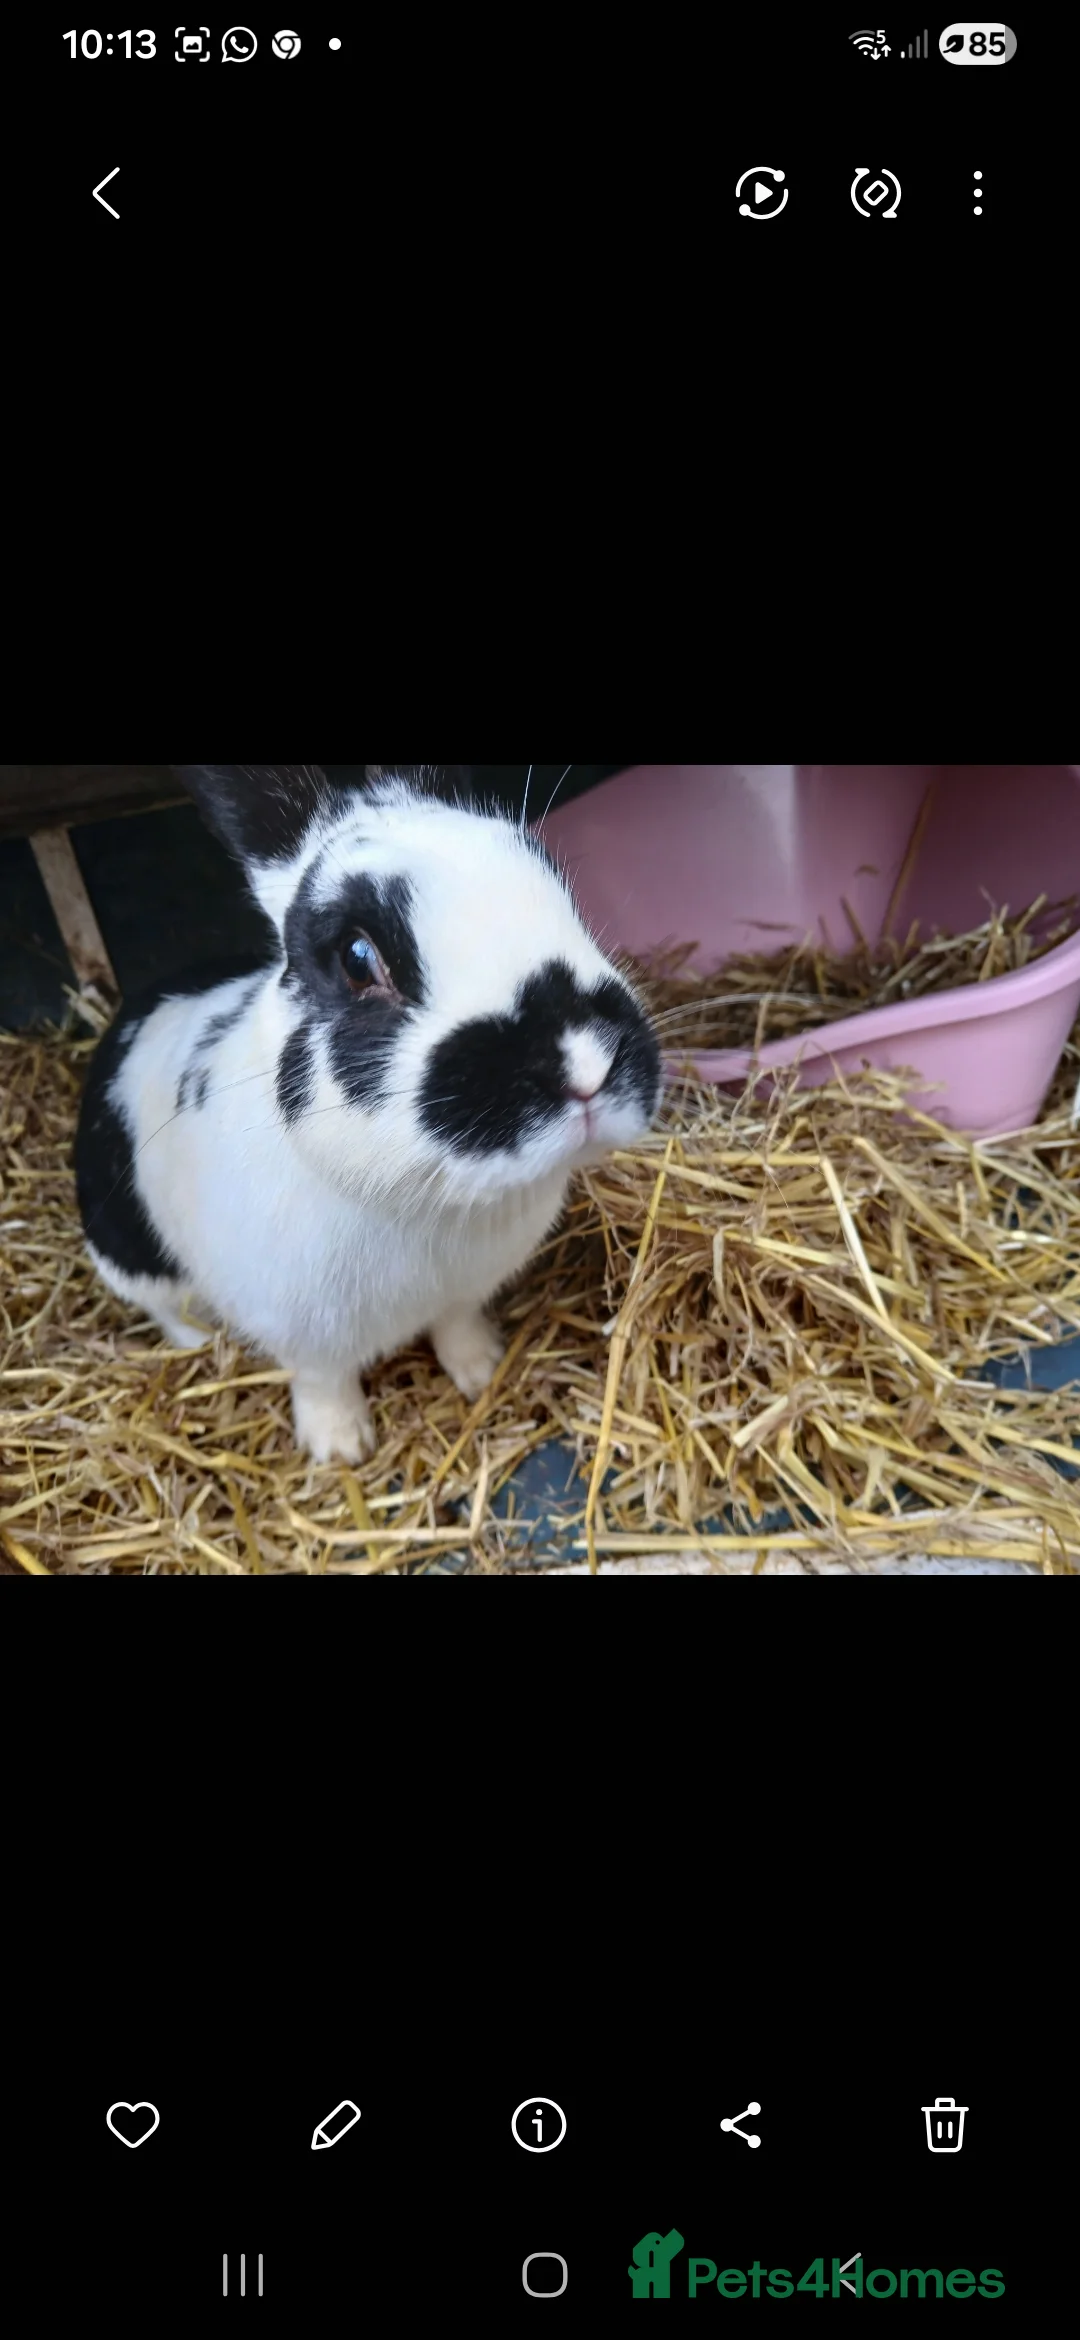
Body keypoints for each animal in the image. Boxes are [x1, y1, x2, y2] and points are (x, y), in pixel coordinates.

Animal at [75, 764, 663, 1463]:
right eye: (358, 959)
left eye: (561, 891)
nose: (587, 1062)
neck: (432, 1205)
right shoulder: (299, 1331)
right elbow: (322, 1382)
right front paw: (340, 1450)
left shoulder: (464, 1293)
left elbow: (456, 1328)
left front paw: (482, 1372)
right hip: (129, 1257)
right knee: (167, 1306)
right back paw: (198, 1344)